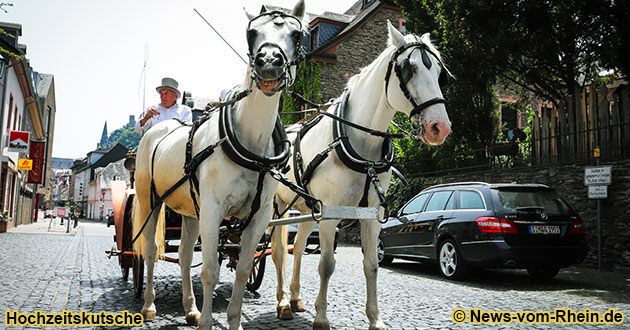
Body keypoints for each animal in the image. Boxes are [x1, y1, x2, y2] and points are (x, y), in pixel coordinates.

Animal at [135, 1, 308, 328]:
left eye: (296, 33)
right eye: (252, 33)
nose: (269, 62)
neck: (250, 145)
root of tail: (158, 129)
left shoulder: (258, 217)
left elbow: (243, 268)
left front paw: (232, 319)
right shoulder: (214, 210)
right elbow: (210, 271)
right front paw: (206, 321)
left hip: (191, 210)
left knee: (185, 256)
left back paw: (190, 308)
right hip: (149, 200)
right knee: (151, 250)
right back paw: (149, 305)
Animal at [272, 21, 454, 328]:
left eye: (440, 73)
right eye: (409, 69)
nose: (439, 127)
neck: (361, 147)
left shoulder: (370, 213)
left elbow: (371, 265)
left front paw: (375, 318)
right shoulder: (330, 213)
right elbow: (326, 264)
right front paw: (322, 318)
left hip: (308, 209)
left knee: (297, 247)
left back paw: (295, 298)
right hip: (276, 206)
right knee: (275, 251)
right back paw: (283, 301)